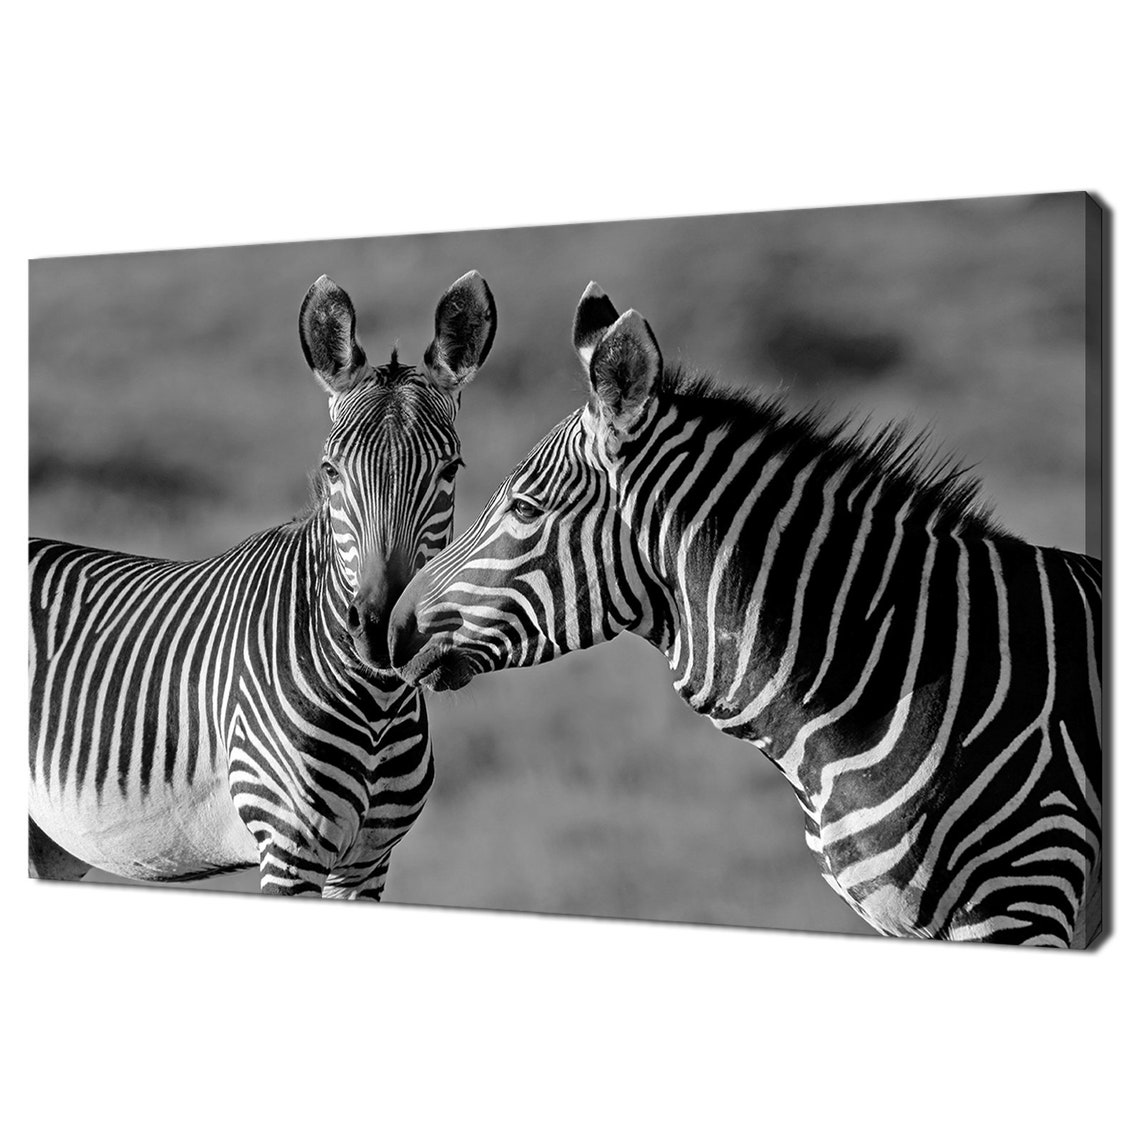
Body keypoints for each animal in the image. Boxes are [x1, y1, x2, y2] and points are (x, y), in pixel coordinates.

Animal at [29, 270, 497, 899]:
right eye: (330, 470)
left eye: (451, 470)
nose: (378, 628)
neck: (377, 704)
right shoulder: (289, 850)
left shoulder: (367, 864)